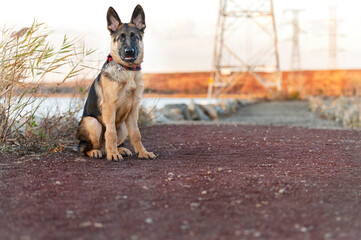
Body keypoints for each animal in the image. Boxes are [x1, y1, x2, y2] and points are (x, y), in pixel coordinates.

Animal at [76, 4, 155, 161]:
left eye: (135, 37)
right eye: (120, 39)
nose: (129, 51)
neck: (127, 71)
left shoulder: (133, 110)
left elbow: (136, 134)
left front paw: (142, 152)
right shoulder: (109, 107)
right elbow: (110, 132)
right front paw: (113, 155)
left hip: (123, 127)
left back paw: (120, 149)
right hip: (92, 123)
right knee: (85, 147)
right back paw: (98, 151)